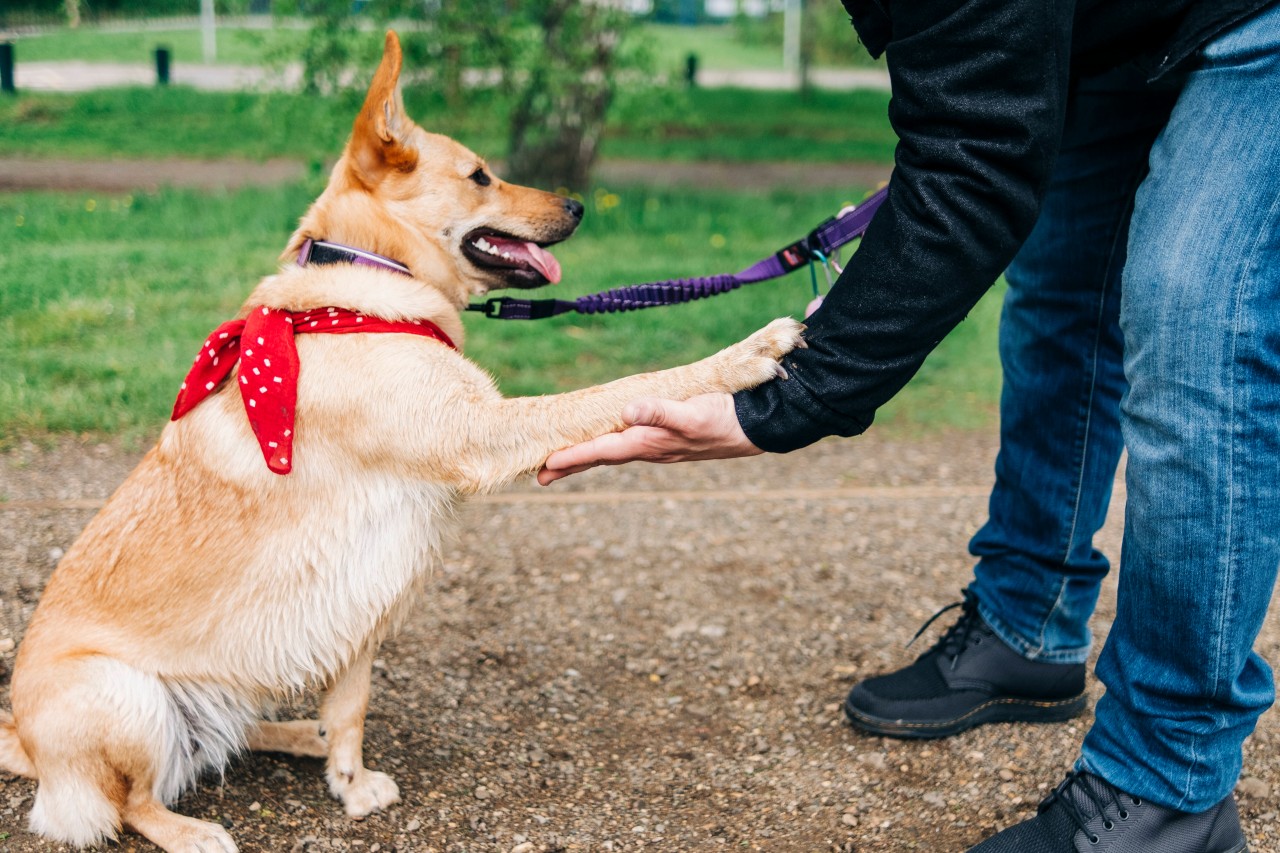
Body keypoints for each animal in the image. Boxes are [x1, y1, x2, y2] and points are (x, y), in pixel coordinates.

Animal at [0, 28, 798, 850]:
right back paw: (191, 827)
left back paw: (298, 735)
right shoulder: (483, 433)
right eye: (480, 176)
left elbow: (351, 709)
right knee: (130, 799)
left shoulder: (362, 601)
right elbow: (619, 389)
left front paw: (348, 784)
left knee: (224, 741)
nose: (577, 204)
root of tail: (21, 738)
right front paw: (742, 354)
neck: (368, 282)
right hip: (121, 698)